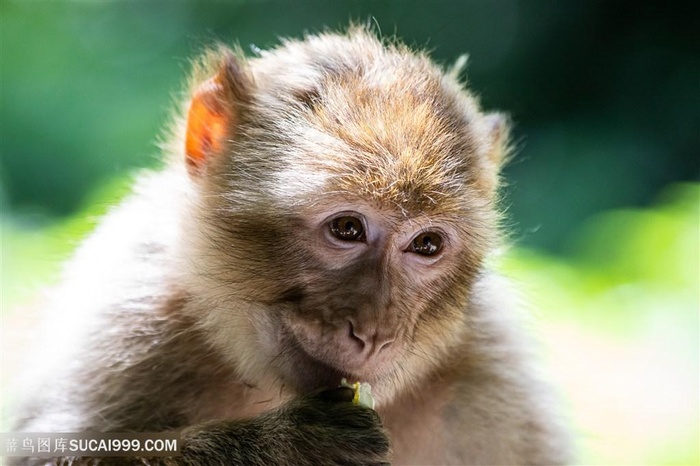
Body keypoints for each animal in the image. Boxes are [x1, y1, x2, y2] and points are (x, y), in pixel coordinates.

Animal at [8, 26, 572, 466]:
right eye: (347, 229)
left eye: (427, 244)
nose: (374, 333)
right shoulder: (128, 309)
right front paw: (287, 447)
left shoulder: (492, 374)